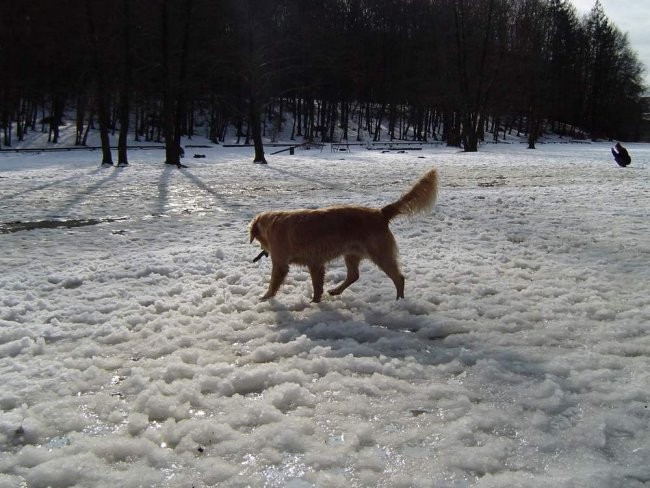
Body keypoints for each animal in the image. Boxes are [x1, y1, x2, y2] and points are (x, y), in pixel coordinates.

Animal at [248, 170, 436, 304]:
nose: (262, 251)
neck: (271, 223)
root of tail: (380, 212)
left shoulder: (281, 263)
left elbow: (273, 283)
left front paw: (264, 298)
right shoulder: (315, 263)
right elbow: (317, 287)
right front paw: (315, 302)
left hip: (380, 254)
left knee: (399, 278)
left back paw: (399, 302)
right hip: (351, 254)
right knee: (354, 275)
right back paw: (336, 290)